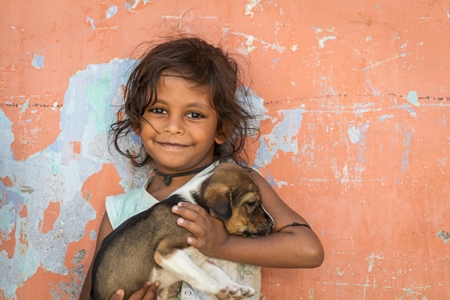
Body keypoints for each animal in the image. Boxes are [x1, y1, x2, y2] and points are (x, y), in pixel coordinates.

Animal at [91, 163, 274, 298]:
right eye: (251, 203)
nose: (272, 224)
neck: (198, 203)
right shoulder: (166, 252)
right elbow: (200, 275)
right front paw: (220, 288)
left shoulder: (197, 257)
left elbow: (215, 271)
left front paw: (236, 287)